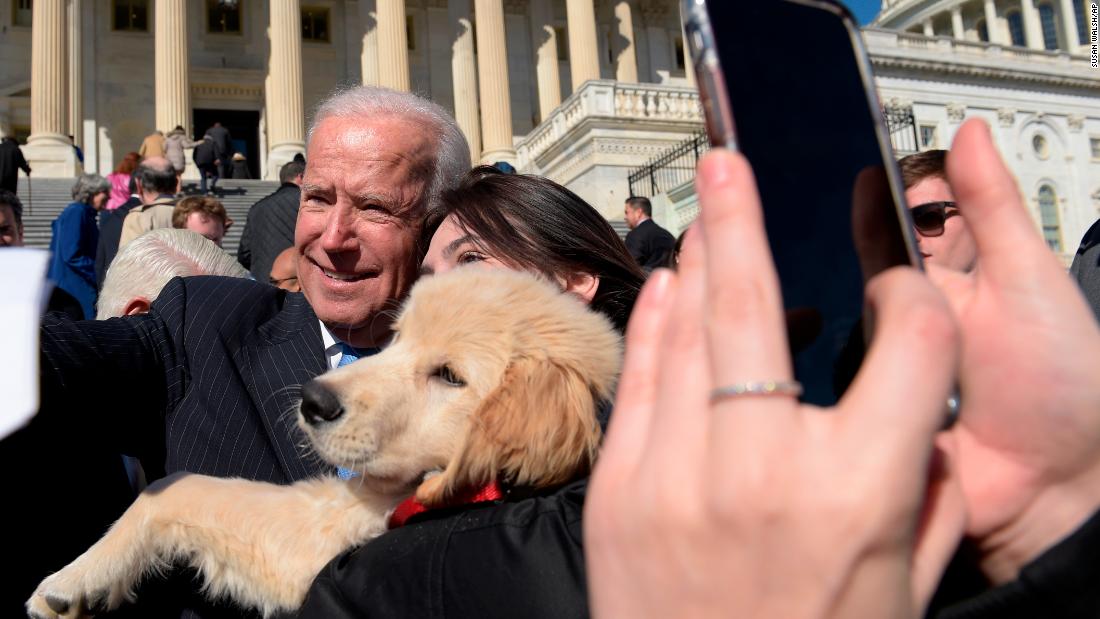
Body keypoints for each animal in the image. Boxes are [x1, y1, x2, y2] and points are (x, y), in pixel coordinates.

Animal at [25, 270, 620, 619]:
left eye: (451, 376)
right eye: (396, 338)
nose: (313, 401)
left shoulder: (325, 535)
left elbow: (181, 487)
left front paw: (72, 579)